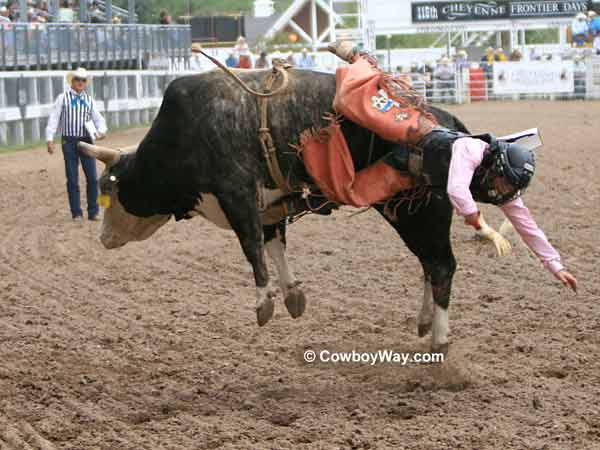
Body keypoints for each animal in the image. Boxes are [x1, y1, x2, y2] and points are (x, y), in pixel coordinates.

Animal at [82, 68, 478, 354]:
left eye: (108, 189)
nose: (103, 238)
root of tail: (446, 122)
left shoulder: (236, 194)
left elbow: (252, 248)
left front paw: (263, 303)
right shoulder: (268, 206)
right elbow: (274, 244)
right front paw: (291, 294)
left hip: (421, 211)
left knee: (441, 265)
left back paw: (440, 339)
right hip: (405, 211)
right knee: (429, 264)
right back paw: (425, 322)